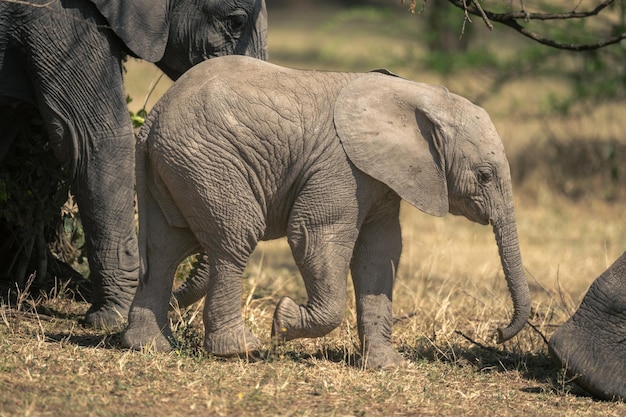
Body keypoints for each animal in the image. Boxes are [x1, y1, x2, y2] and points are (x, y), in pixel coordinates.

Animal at [123, 54, 532, 368]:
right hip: (207, 162)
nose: (498, 331)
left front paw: (387, 367)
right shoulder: (341, 166)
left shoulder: (382, 177)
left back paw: (149, 347)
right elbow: (316, 234)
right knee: (234, 239)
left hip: (177, 166)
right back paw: (241, 350)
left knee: (164, 248)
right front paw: (283, 321)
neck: (415, 94)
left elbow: (380, 252)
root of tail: (152, 119)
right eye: (484, 175)